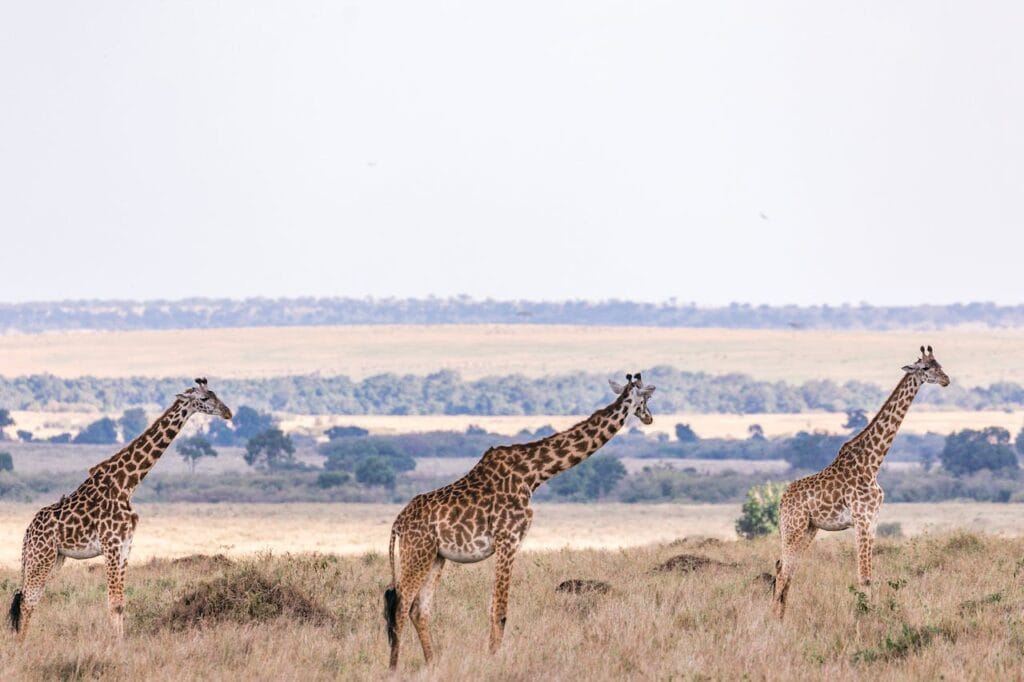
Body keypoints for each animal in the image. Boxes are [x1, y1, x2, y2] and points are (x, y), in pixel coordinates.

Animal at [7, 378, 232, 641]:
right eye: (204, 399)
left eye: (215, 394)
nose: (228, 413)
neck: (127, 483)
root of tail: (27, 533)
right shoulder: (111, 544)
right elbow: (113, 602)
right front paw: (114, 645)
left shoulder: (126, 545)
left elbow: (122, 602)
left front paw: (121, 643)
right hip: (40, 557)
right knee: (27, 600)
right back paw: (21, 645)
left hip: (54, 559)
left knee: (29, 597)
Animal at [383, 373, 656, 670]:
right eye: (645, 399)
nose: (649, 418)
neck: (534, 473)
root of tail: (397, 523)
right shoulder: (508, 539)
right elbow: (500, 610)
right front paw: (495, 661)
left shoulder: (504, 543)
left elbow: (493, 608)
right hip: (417, 552)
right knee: (400, 607)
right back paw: (394, 668)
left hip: (435, 557)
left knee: (419, 610)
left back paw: (433, 664)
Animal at [772, 346, 949, 619]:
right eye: (926, 368)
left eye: (940, 364)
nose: (946, 380)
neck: (872, 463)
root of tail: (782, 501)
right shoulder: (862, 519)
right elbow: (863, 577)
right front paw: (865, 617)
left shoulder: (873, 520)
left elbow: (869, 575)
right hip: (795, 527)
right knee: (782, 572)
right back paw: (772, 620)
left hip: (808, 529)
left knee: (787, 570)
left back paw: (783, 619)